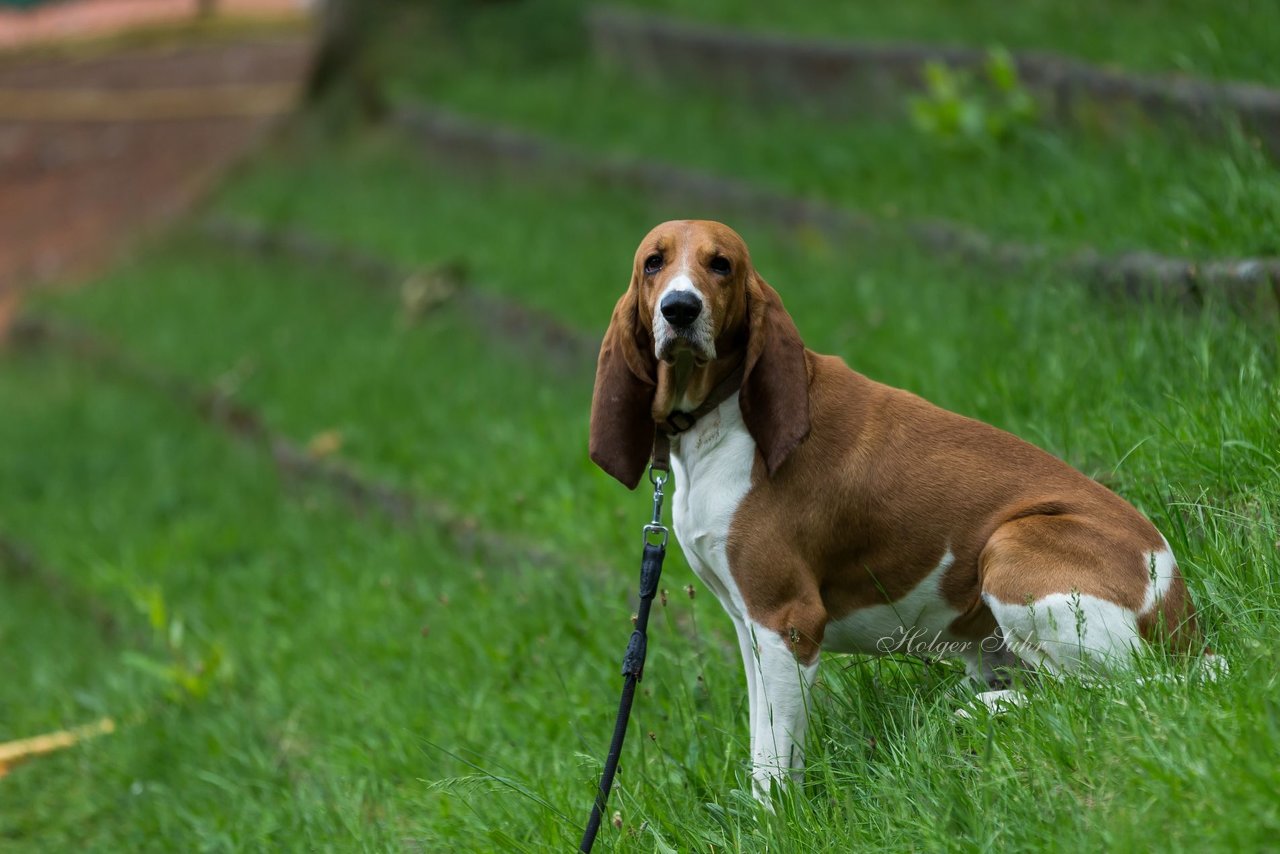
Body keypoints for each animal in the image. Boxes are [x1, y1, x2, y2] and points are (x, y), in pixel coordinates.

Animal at [586, 218, 1198, 804]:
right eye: (654, 263)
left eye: (721, 265)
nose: (680, 308)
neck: (722, 413)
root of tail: (1181, 613)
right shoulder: (750, 626)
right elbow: (762, 741)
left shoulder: (787, 623)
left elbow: (774, 763)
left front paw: (774, 822)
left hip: (1010, 547)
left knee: (1111, 695)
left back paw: (990, 709)